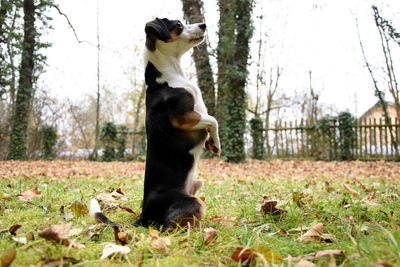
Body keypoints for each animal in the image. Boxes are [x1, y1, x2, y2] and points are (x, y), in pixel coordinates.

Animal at [89, 17, 220, 230]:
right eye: (178, 24)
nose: (203, 25)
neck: (170, 76)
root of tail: (144, 217)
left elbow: (210, 121)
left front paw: (212, 142)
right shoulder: (184, 117)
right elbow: (213, 120)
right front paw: (216, 142)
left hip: (197, 184)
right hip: (193, 202)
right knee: (170, 226)